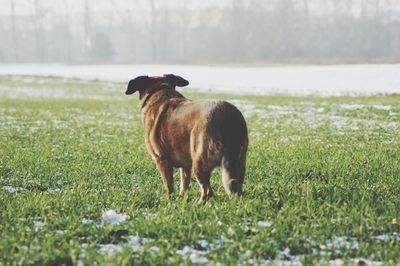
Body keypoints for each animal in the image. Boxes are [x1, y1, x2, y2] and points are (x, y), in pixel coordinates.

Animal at [126, 75, 248, 204]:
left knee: (208, 191)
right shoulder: (185, 165)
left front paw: (169, 200)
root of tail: (229, 118)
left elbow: (169, 185)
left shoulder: (161, 159)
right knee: (237, 189)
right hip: (238, 163)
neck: (160, 91)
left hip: (199, 161)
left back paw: (197, 205)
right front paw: (182, 199)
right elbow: (184, 184)